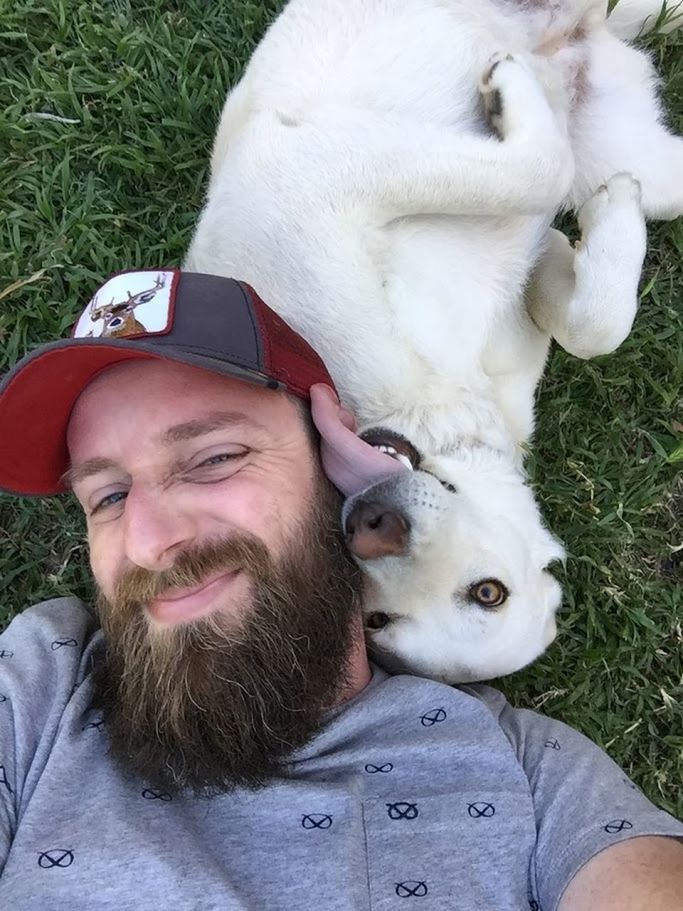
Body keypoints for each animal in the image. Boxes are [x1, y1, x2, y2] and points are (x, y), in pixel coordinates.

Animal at [184, 0, 680, 684]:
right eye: (375, 619)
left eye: (487, 592)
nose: (375, 524)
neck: (433, 395)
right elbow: (571, 271)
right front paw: (582, 233)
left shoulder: (325, 168)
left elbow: (571, 278)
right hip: (627, 151)